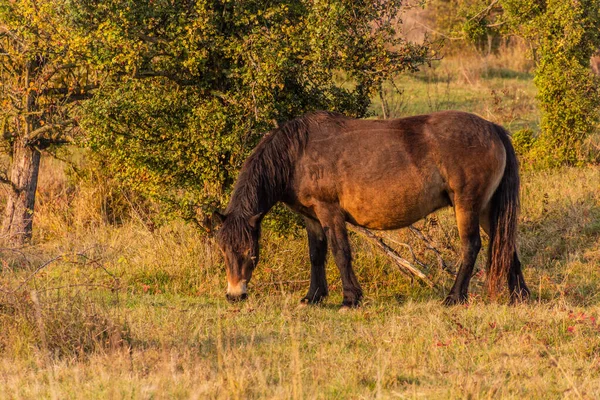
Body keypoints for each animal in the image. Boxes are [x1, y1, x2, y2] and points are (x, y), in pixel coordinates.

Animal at [214, 111, 528, 308]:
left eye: (250, 251)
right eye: (224, 251)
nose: (234, 294)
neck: (297, 153)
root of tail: (493, 128)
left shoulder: (329, 213)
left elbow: (340, 253)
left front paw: (350, 299)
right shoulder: (311, 218)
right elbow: (316, 256)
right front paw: (313, 297)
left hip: (468, 206)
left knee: (471, 246)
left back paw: (454, 297)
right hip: (488, 209)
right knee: (505, 242)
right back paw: (520, 296)